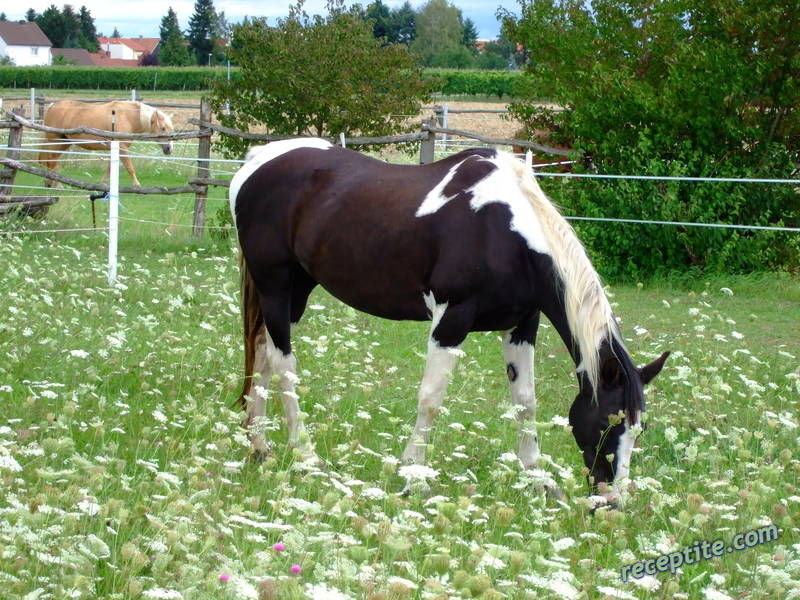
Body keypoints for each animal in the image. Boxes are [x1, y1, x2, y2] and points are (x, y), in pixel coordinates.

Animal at [38, 100, 173, 188]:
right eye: (163, 128)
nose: (169, 149)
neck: (127, 116)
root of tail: (52, 106)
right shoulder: (122, 148)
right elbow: (130, 167)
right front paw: (137, 185)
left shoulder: (115, 148)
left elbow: (110, 167)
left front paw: (102, 183)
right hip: (55, 141)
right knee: (52, 161)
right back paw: (56, 185)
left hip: (65, 142)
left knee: (53, 161)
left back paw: (50, 183)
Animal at [231, 139, 668, 496]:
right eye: (609, 423)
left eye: (639, 429)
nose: (610, 501)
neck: (505, 232)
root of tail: (257, 160)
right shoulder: (451, 320)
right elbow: (430, 399)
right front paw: (412, 477)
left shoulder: (521, 325)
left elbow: (525, 403)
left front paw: (538, 481)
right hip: (276, 285)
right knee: (284, 366)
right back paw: (304, 454)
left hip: (297, 290)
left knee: (263, 353)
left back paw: (259, 447)